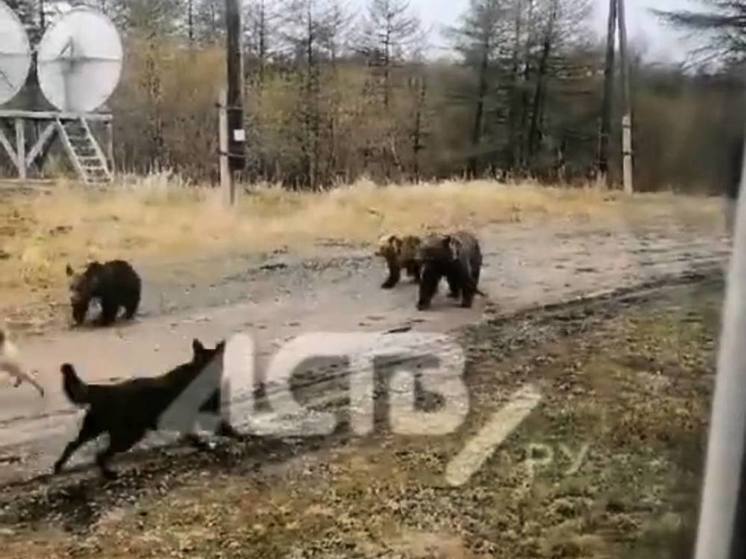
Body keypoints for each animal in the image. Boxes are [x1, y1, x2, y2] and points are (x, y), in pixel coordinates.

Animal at [55, 340, 241, 480]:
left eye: (216, 365)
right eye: (206, 365)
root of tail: (105, 389)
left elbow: (194, 433)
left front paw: (199, 443)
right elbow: (226, 429)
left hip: (94, 429)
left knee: (72, 444)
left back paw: (59, 466)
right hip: (127, 436)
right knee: (99, 455)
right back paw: (108, 473)